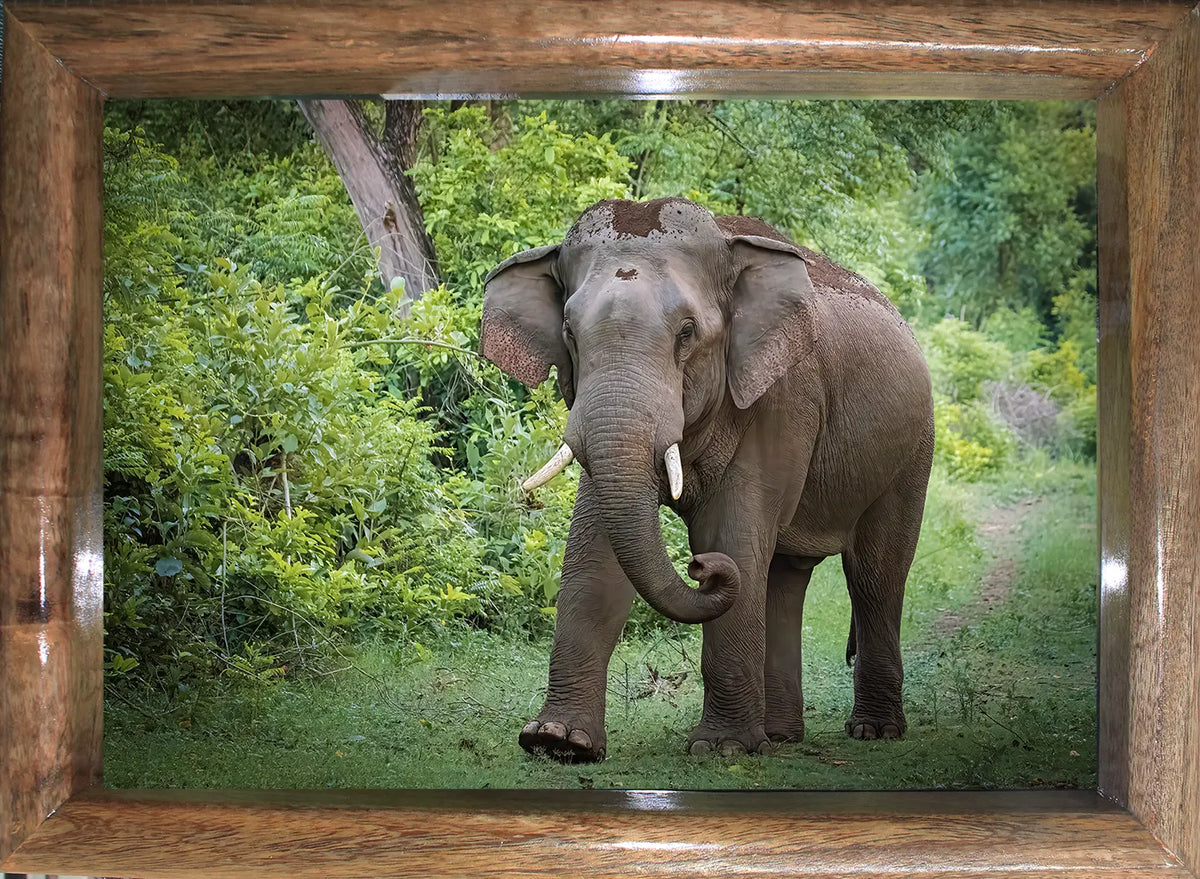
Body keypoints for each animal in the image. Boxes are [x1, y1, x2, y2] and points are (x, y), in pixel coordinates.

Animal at [481, 197, 933, 761]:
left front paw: (722, 748)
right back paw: (779, 736)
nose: (699, 567)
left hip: (910, 452)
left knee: (875, 574)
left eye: (687, 333)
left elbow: (733, 537)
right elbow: (593, 553)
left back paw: (873, 731)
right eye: (568, 333)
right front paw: (558, 742)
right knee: (784, 575)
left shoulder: (781, 398)